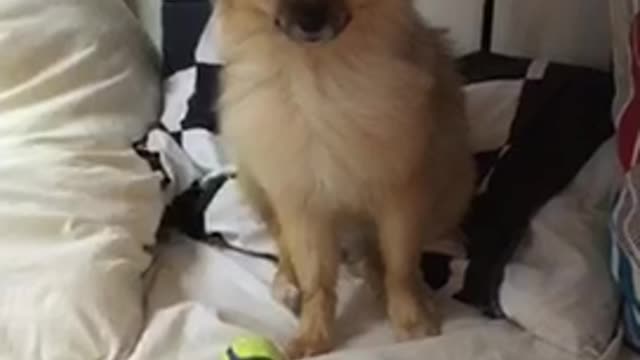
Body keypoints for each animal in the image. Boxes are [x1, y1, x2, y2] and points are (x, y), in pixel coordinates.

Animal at [215, 0, 476, 358]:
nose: (311, 22)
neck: (321, 76)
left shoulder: (401, 195)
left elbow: (401, 266)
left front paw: (410, 318)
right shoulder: (302, 202)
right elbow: (317, 281)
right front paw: (312, 335)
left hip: (455, 182)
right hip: (257, 183)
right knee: (283, 243)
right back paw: (287, 282)